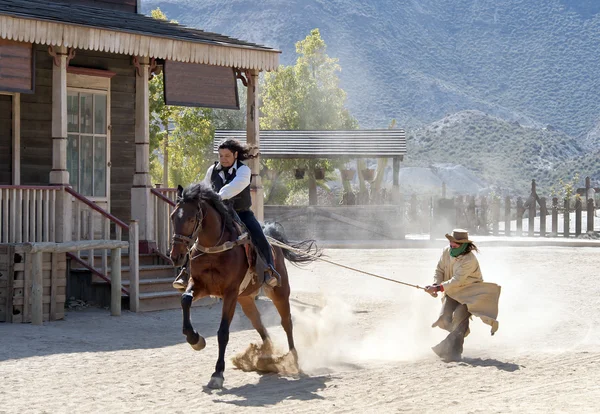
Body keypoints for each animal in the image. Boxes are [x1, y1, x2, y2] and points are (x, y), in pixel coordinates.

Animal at [169, 184, 318, 388]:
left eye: (191, 218)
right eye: (173, 217)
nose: (175, 256)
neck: (215, 248)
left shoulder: (230, 293)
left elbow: (223, 332)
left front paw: (218, 373)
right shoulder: (200, 285)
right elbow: (185, 300)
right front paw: (195, 339)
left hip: (279, 292)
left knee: (286, 322)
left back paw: (292, 359)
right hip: (245, 298)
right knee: (258, 322)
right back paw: (266, 354)